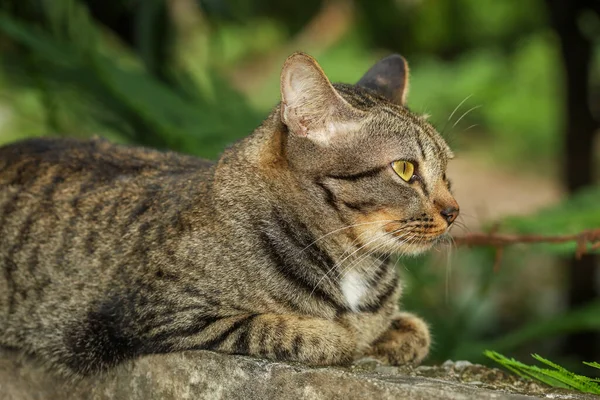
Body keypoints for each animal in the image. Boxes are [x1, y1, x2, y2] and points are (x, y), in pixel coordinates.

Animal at [0, 51, 460, 376]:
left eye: (447, 170)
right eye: (405, 169)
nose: (454, 211)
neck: (353, 264)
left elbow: (415, 330)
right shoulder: (159, 317)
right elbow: (297, 331)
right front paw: (343, 334)